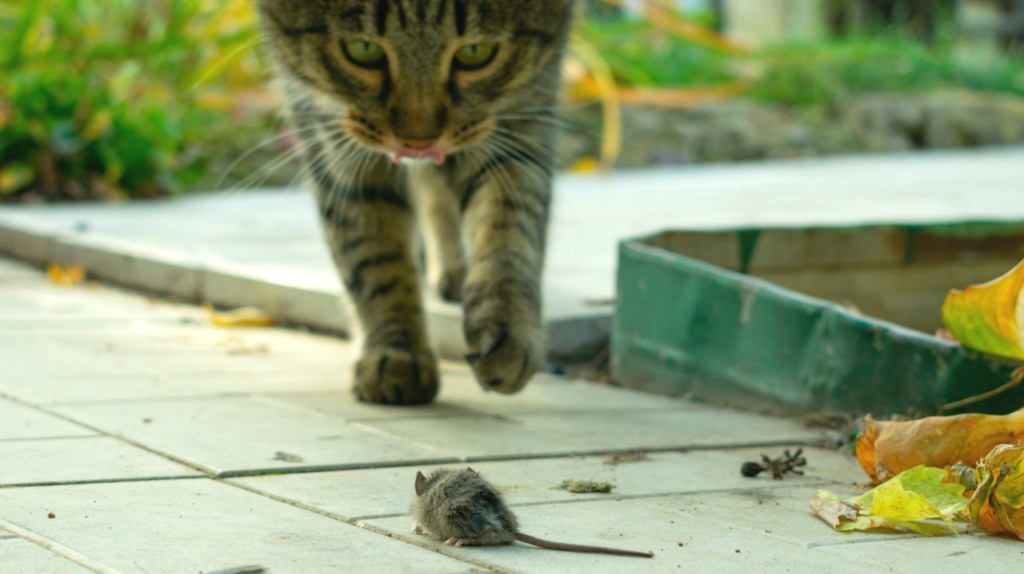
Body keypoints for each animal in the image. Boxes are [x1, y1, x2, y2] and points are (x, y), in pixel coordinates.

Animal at [256, 1, 577, 403]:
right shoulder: (329, 130)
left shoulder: (525, 112)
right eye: (362, 50)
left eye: (476, 53)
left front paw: (510, 328)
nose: (418, 140)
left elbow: (510, 235)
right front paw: (397, 351)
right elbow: (375, 258)